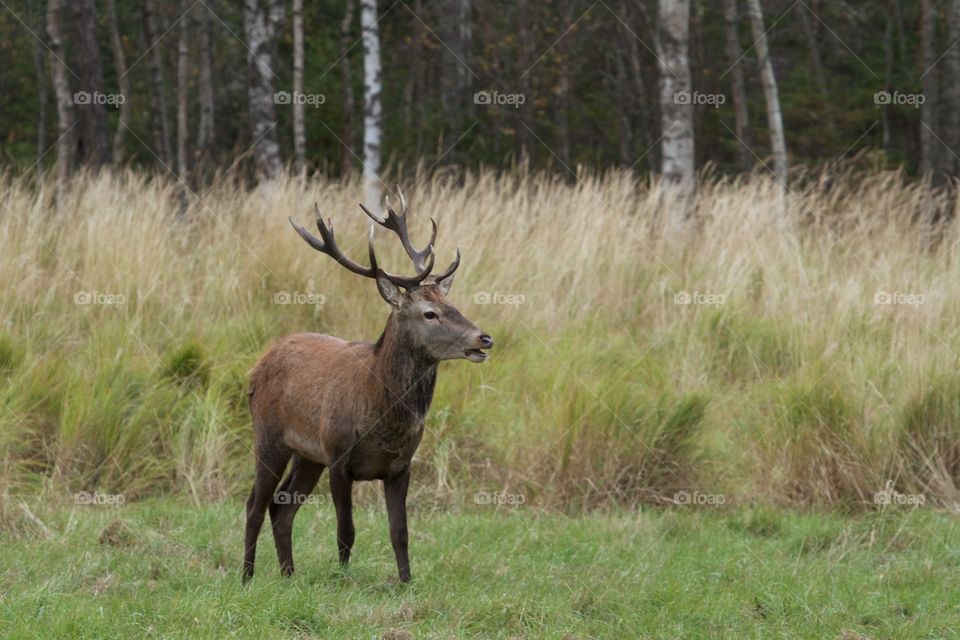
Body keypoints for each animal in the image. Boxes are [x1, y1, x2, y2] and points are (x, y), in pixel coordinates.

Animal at [244, 188, 492, 584]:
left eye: (452, 304)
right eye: (429, 313)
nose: (484, 338)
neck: (381, 417)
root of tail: (258, 364)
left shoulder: (402, 466)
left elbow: (400, 532)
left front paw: (407, 583)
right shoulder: (339, 456)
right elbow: (346, 531)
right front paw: (344, 579)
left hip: (308, 455)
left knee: (281, 506)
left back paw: (288, 575)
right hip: (270, 436)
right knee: (256, 502)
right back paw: (247, 576)